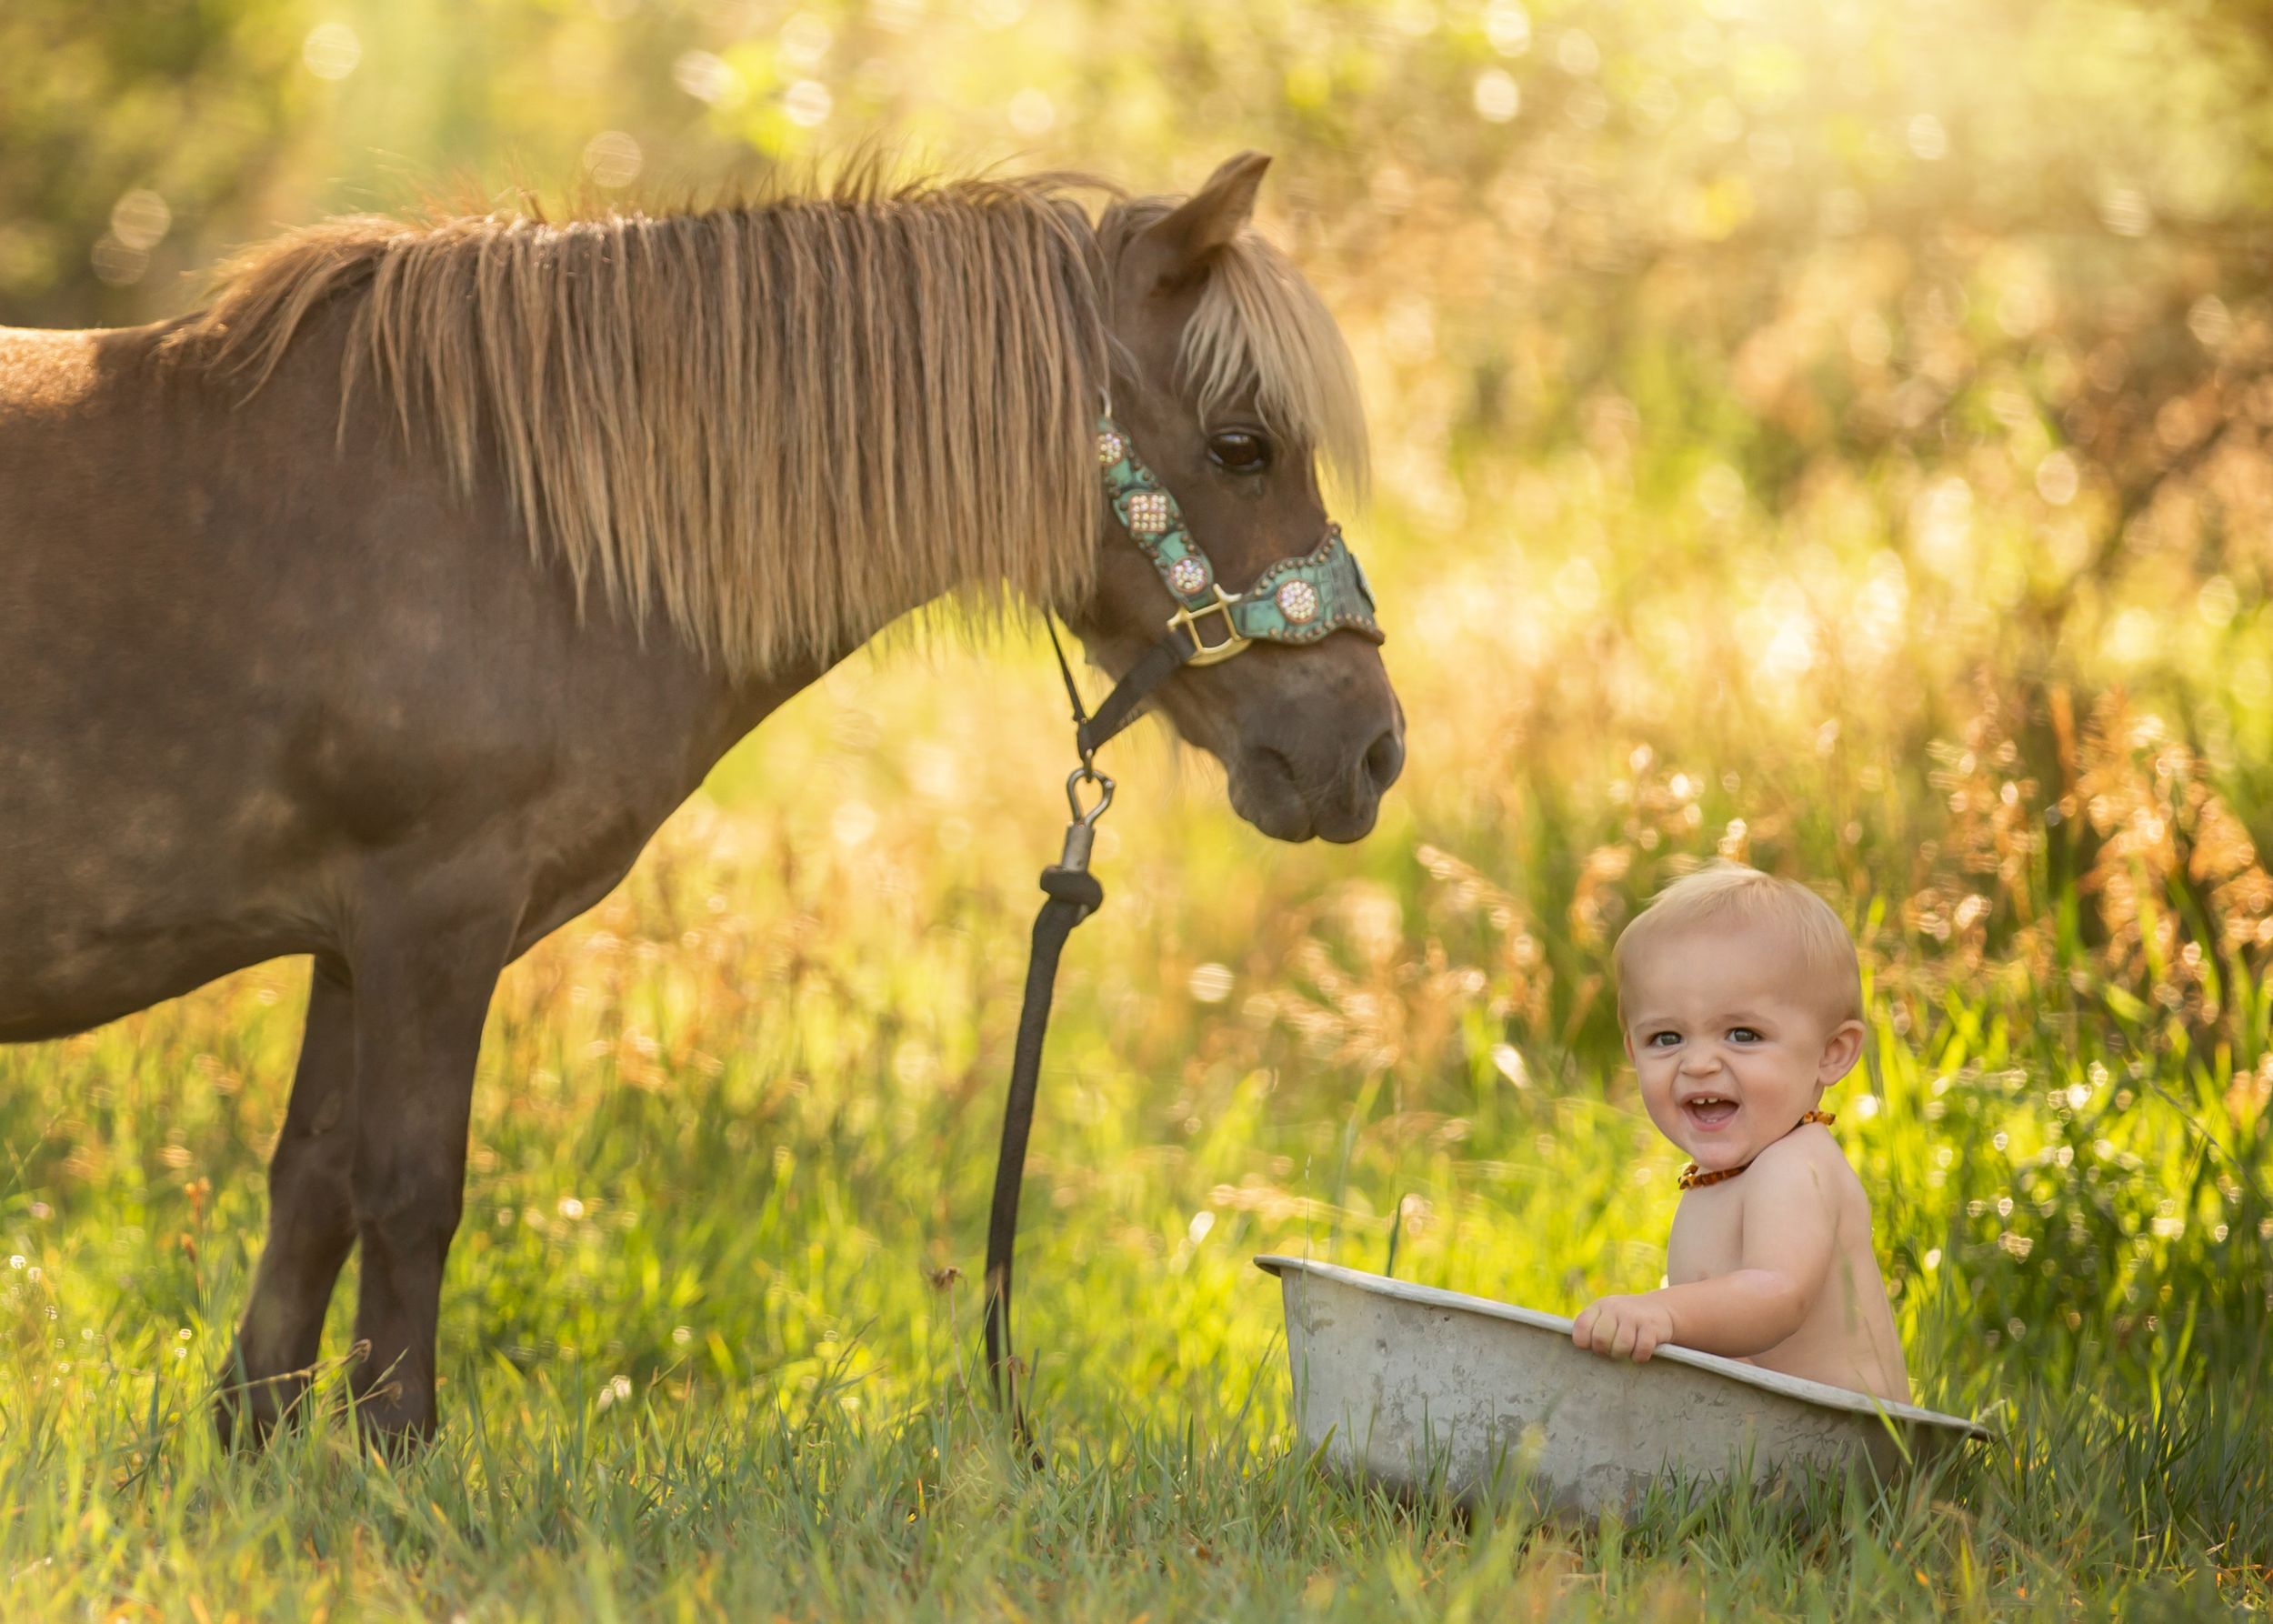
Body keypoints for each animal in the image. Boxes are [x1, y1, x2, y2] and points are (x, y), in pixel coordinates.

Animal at [0, 152, 1404, 1446]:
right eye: (1242, 444)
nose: (1369, 749)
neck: (515, 520)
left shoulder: (350, 943)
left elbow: (311, 1190)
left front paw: (261, 1457)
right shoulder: (431, 914)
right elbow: (408, 1191)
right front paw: (399, 1456)